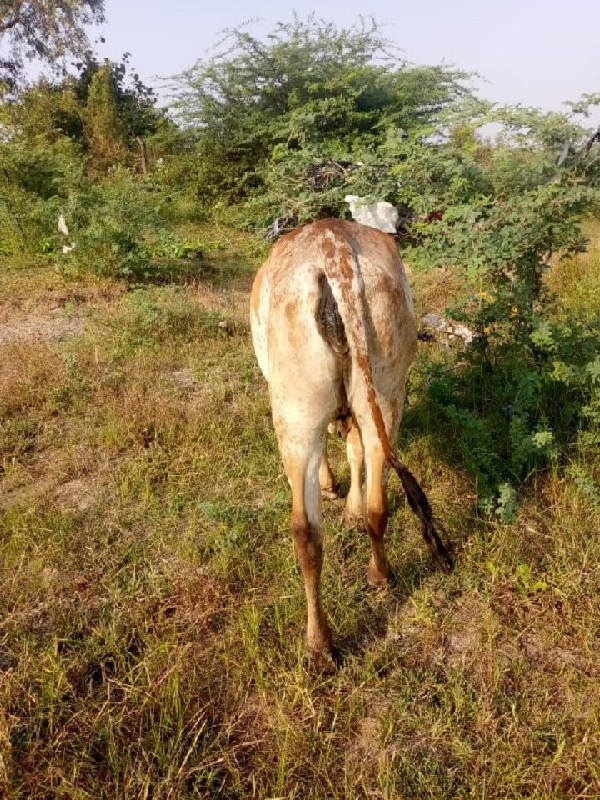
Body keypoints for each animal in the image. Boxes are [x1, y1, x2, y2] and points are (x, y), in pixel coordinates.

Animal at [248, 217, 450, 664]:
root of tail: (334, 250)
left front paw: (331, 486)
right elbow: (355, 452)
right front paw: (353, 510)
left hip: (294, 409)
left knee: (307, 526)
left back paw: (319, 642)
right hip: (386, 394)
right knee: (370, 502)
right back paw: (375, 580)